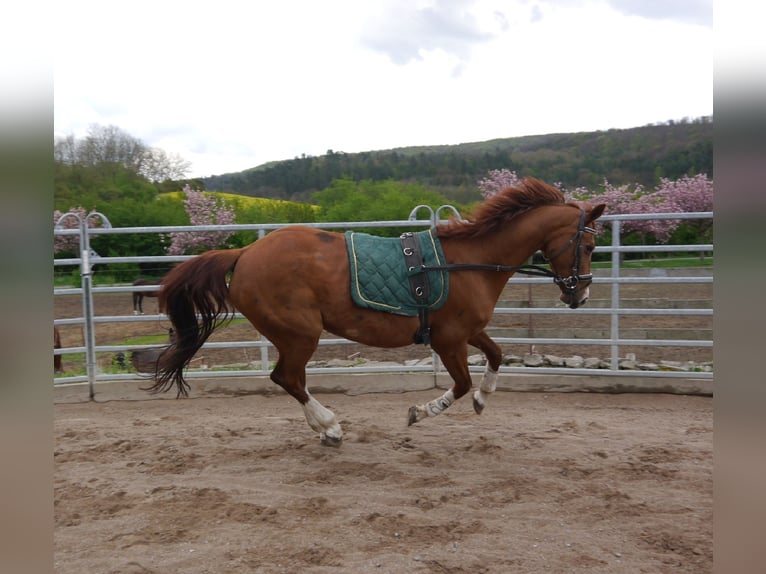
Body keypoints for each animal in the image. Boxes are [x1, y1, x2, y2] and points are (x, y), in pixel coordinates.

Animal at [148, 178, 608, 448]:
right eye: (588, 245)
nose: (581, 295)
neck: (469, 261)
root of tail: (244, 253)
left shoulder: (466, 332)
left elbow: (495, 357)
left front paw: (483, 399)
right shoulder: (448, 341)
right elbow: (459, 385)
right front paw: (420, 412)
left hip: (296, 336)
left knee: (290, 380)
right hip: (300, 334)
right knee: (287, 378)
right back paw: (330, 427)